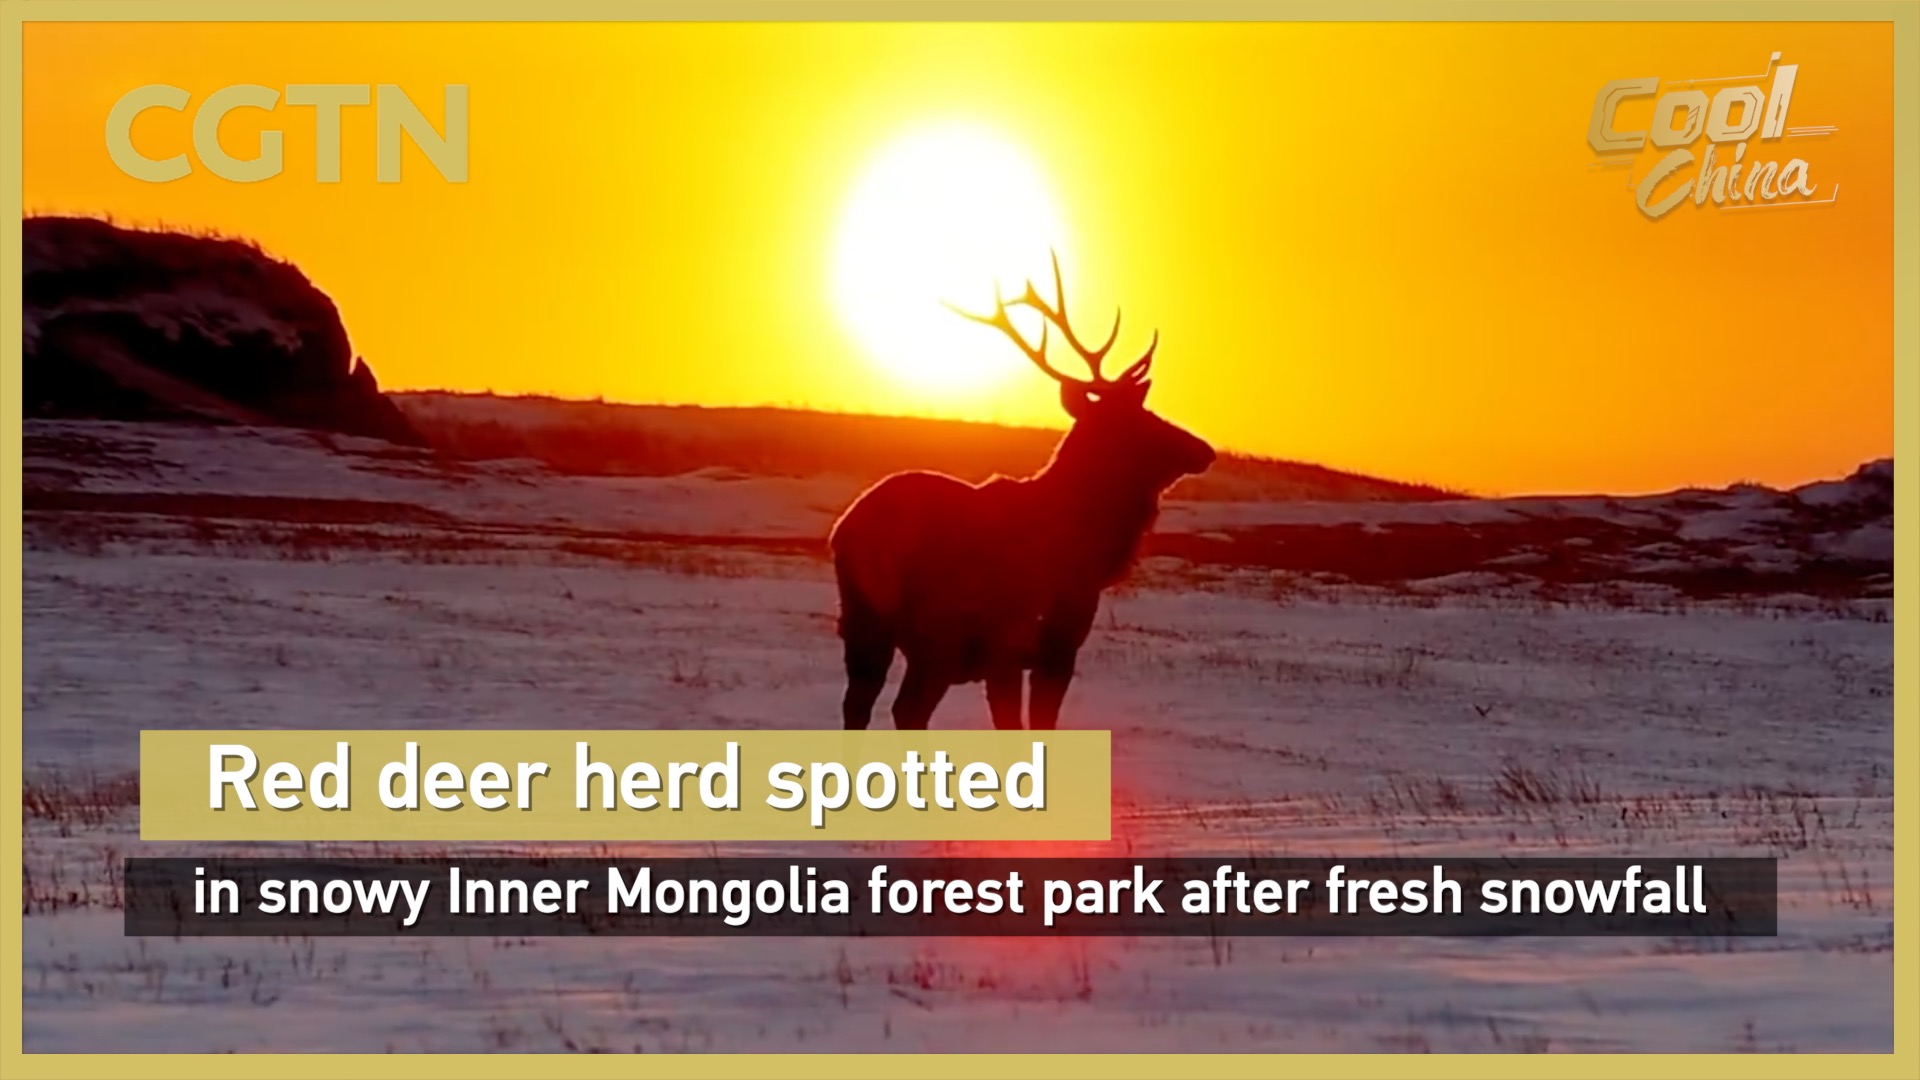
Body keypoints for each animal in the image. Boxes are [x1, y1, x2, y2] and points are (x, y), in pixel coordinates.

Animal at [829, 253, 1216, 731]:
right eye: (1136, 420)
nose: (1205, 449)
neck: (1087, 556)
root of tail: (845, 531)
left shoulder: (1045, 652)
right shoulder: (1027, 647)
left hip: (872, 625)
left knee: (865, 706)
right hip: (937, 633)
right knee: (902, 708)